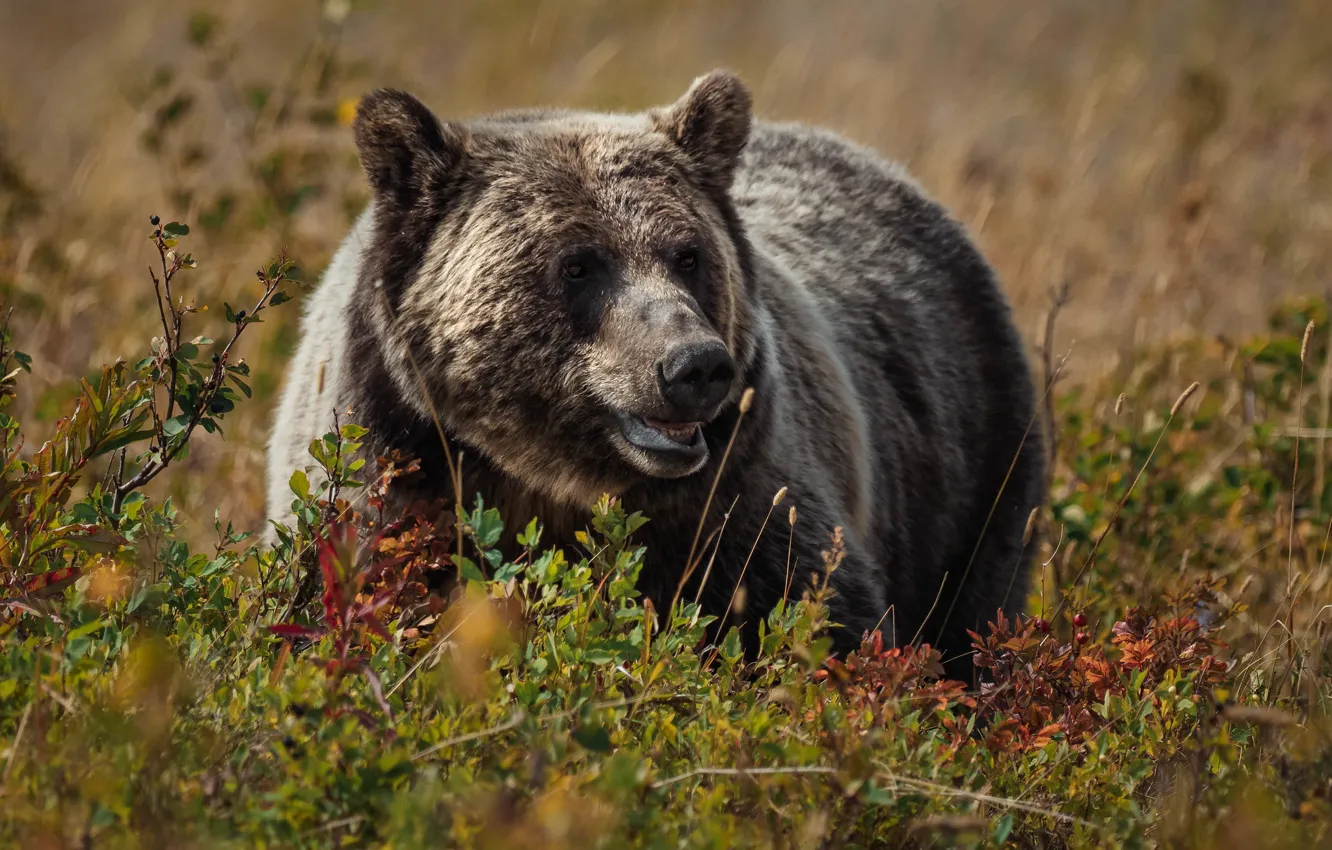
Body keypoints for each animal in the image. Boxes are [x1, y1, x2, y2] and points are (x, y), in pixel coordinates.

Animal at [265, 69, 1045, 682]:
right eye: (577, 264)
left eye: (687, 254)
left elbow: (813, 617)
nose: (694, 365)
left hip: (976, 469)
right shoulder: (392, 477)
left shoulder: (733, 504)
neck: (547, 479)